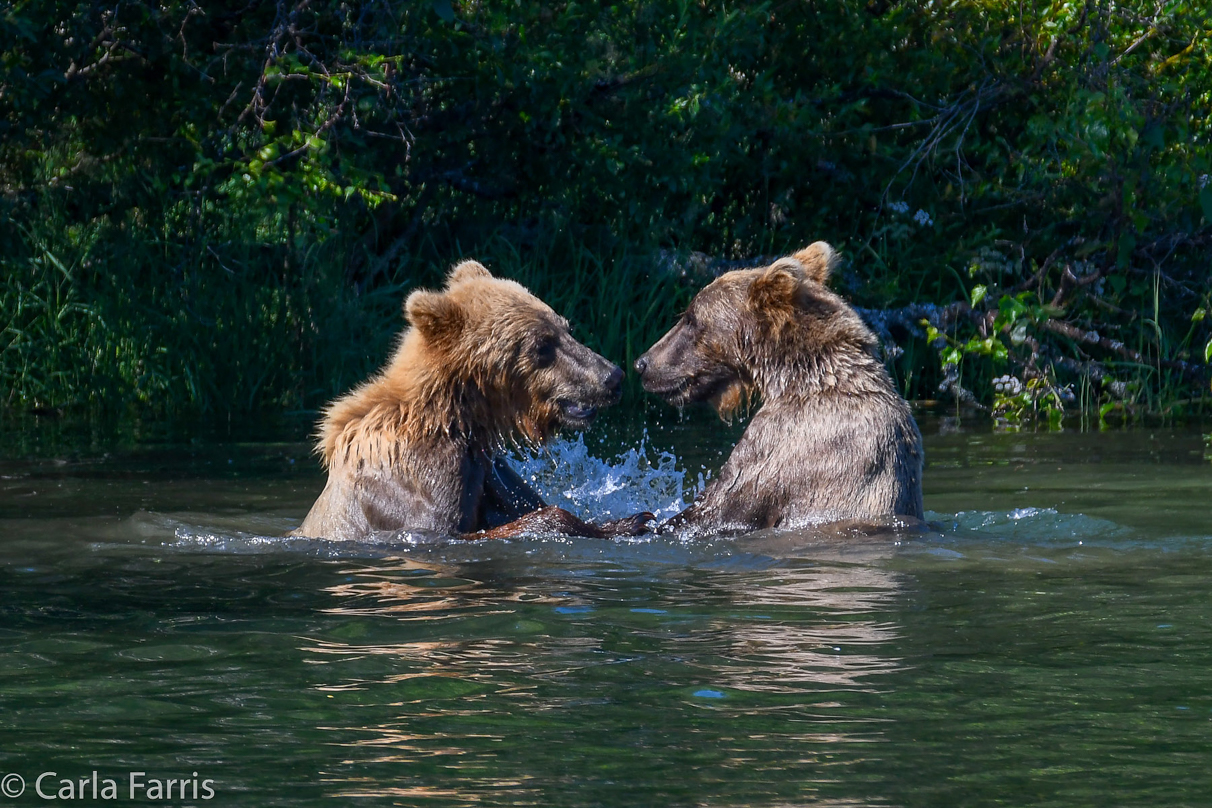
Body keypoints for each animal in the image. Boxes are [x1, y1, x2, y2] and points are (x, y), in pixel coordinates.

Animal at [294, 262, 654, 540]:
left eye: (567, 328)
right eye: (541, 345)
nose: (612, 376)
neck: (458, 416)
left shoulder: (489, 472)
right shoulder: (414, 487)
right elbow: (450, 529)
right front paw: (627, 522)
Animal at [630, 244, 921, 537]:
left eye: (691, 319)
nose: (642, 363)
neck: (796, 376)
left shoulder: (786, 444)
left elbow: (722, 504)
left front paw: (637, 521)